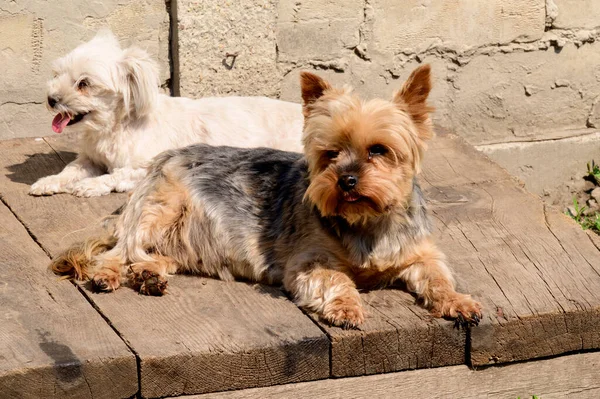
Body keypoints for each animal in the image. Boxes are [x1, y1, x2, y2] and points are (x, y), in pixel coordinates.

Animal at [31, 31, 304, 198]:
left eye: (84, 84)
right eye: (57, 74)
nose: (51, 99)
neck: (114, 128)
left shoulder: (149, 166)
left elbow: (116, 174)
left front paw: (90, 184)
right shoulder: (90, 159)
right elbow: (70, 170)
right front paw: (48, 181)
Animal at [51, 65, 482, 328]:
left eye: (378, 150)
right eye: (330, 153)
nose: (346, 181)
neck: (365, 222)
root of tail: (163, 156)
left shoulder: (421, 253)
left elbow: (439, 277)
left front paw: (458, 301)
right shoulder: (306, 262)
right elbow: (337, 278)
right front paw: (346, 307)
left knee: (154, 256)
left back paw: (149, 276)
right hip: (160, 206)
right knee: (120, 251)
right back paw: (111, 274)